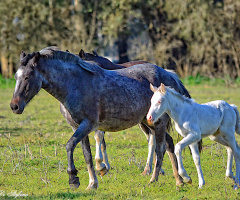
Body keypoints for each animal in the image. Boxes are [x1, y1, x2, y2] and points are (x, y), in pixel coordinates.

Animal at [10, 47, 191, 189]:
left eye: (27, 77)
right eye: (16, 77)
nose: (14, 106)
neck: (75, 84)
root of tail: (168, 74)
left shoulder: (88, 125)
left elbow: (70, 145)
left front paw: (73, 178)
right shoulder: (78, 127)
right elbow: (87, 155)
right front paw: (92, 183)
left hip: (158, 123)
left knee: (160, 148)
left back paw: (154, 179)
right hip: (149, 121)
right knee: (168, 144)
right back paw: (179, 180)